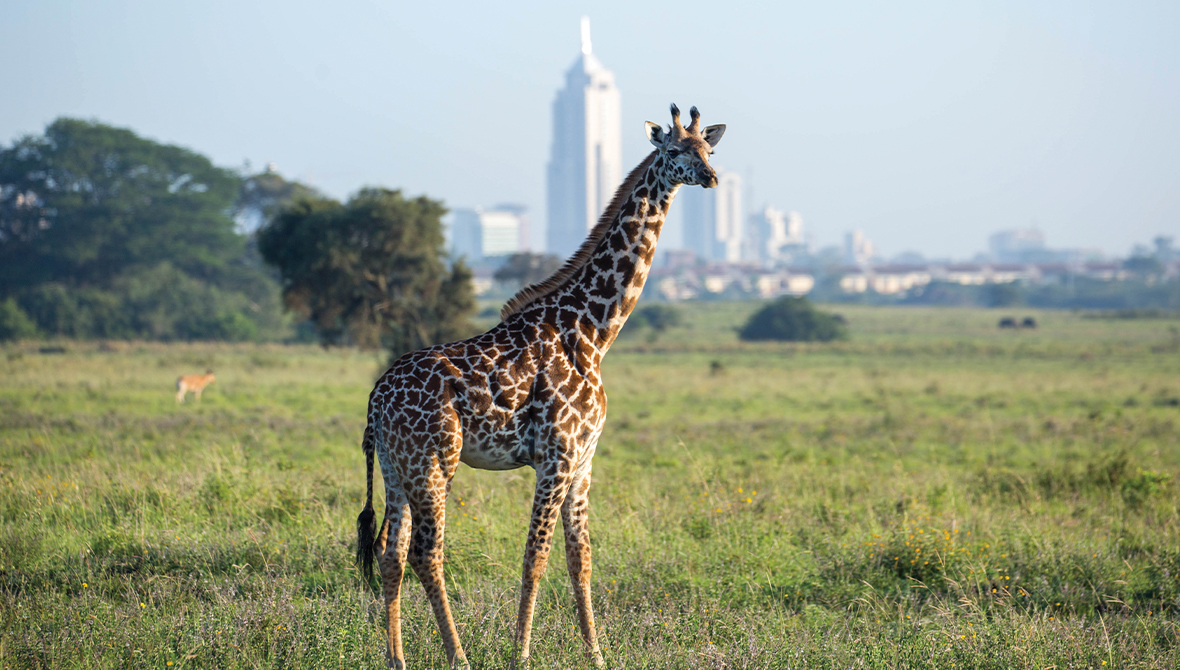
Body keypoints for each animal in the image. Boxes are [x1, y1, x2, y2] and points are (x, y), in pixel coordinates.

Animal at [353, 104, 722, 670]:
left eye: (709, 147)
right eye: (676, 149)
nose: (711, 176)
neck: (594, 330)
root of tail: (375, 399)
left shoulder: (584, 461)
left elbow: (580, 558)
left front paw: (596, 653)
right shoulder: (556, 456)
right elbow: (535, 557)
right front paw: (521, 653)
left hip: (397, 468)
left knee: (392, 553)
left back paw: (397, 660)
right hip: (434, 461)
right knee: (426, 553)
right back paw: (459, 656)